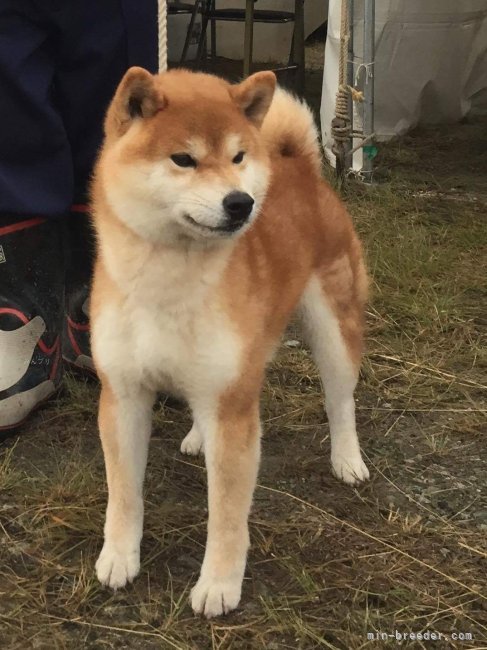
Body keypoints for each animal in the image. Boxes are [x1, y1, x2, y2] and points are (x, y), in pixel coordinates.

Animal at [89, 67, 370, 616]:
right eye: (184, 159)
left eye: (238, 157)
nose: (241, 202)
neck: (167, 278)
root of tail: (299, 166)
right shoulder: (123, 394)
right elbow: (124, 493)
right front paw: (118, 556)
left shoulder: (233, 407)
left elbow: (226, 511)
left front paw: (219, 584)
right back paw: (198, 437)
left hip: (330, 329)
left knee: (340, 399)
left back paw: (347, 459)